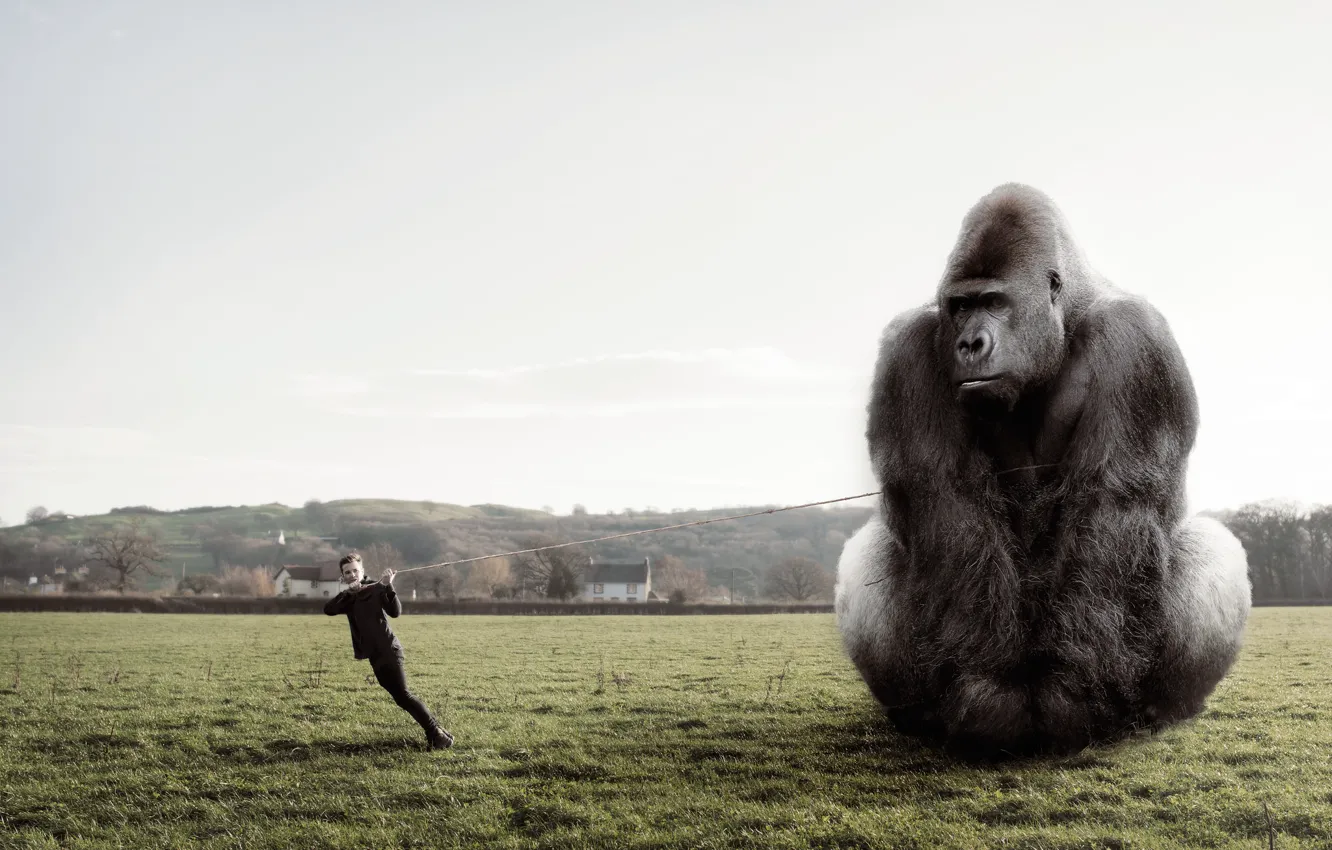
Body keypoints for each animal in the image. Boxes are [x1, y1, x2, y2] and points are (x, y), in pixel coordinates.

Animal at [834, 183, 1251, 759]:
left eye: (993, 302)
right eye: (959, 307)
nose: (969, 344)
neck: (1064, 316)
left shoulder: (1138, 340)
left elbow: (1111, 506)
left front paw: (1074, 700)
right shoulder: (910, 347)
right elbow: (946, 502)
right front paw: (987, 699)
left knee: (1209, 545)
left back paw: (1159, 711)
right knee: (870, 552)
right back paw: (917, 717)